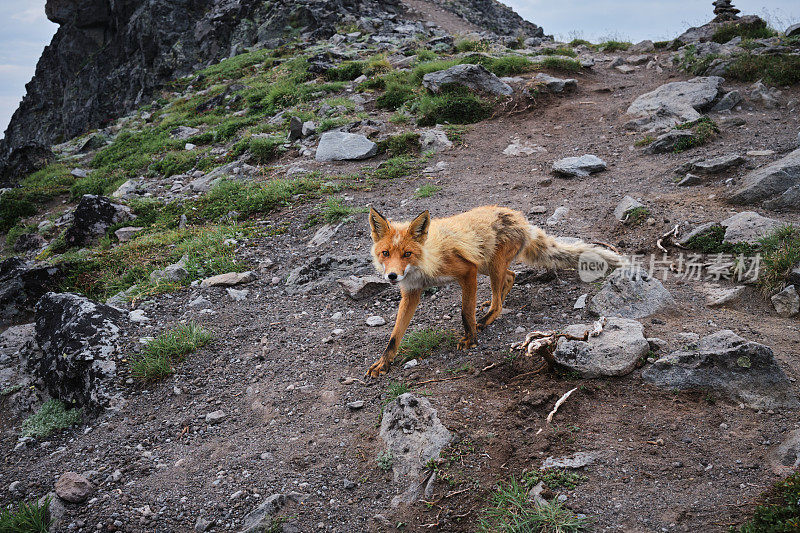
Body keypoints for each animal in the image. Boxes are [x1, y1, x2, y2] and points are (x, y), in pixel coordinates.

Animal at [366, 206, 620, 376]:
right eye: (386, 253)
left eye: (407, 253)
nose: (392, 276)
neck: (426, 260)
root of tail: (522, 219)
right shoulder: (411, 292)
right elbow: (394, 335)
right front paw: (383, 363)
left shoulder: (467, 271)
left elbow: (465, 312)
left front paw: (470, 339)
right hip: (487, 266)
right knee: (511, 277)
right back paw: (489, 306)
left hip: (490, 265)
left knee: (500, 298)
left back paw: (487, 317)